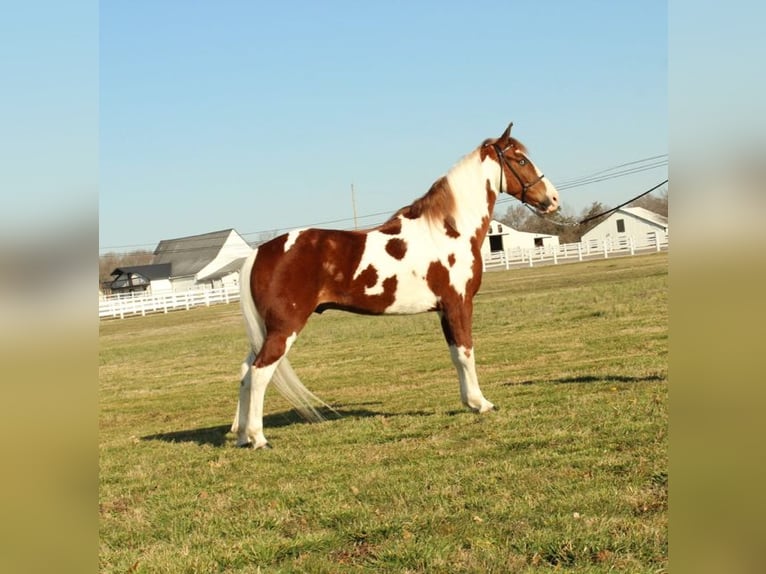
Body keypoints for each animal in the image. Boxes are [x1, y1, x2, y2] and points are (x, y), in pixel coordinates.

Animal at [232, 122, 559, 449]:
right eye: (521, 160)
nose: (553, 200)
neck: (448, 230)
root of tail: (259, 253)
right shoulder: (459, 304)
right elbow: (467, 352)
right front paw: (481, 403)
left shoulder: (444, 310)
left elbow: (456, 355)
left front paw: (469, 401)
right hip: (284, 327)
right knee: (260, 372)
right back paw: (258, 438)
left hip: (267, 330)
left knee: (246, 372)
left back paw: (242, 436)